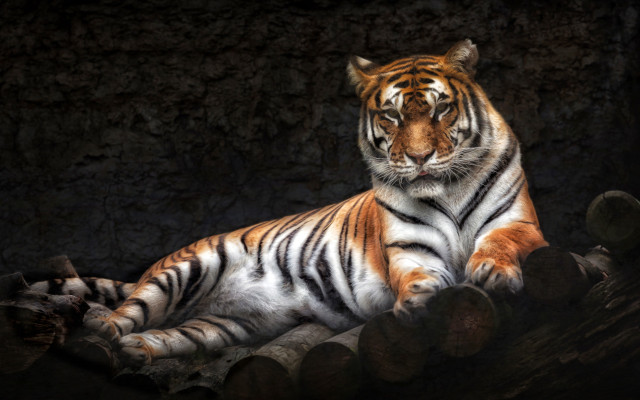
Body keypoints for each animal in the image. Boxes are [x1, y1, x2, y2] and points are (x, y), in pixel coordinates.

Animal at [31, 39, 547, 365]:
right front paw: (420, 298)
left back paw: (138, 350)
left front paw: (491, 270)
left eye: (441, 108)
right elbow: (417, 274)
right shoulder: (408, 248)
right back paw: (100, 341)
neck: (448, 188)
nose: (420, 158)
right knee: (122, 316)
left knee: (169, 333)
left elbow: (500, 243)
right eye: (391, 115)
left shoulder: (520, 224)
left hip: (223, 325)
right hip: (185, 270)